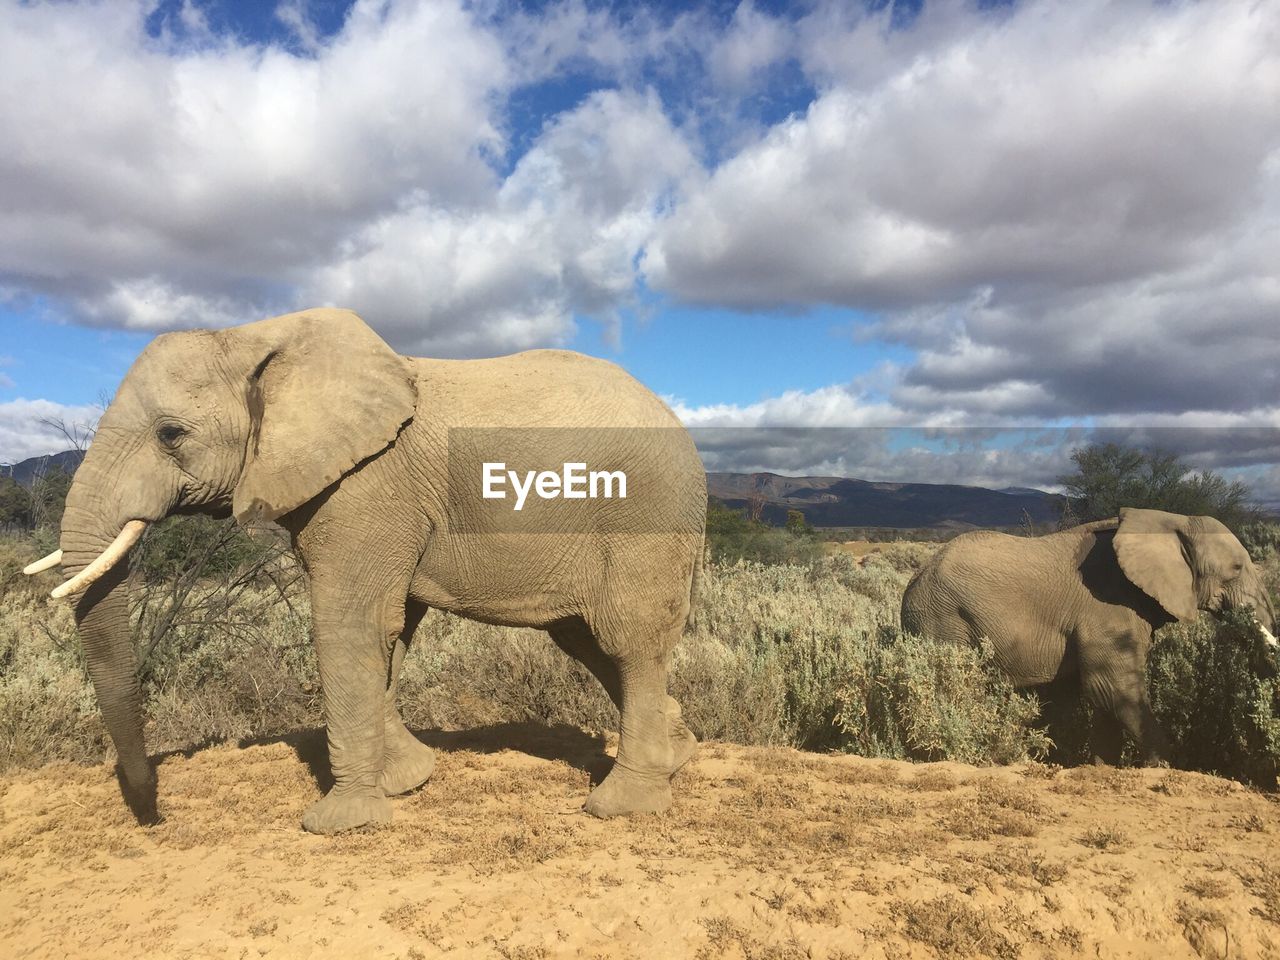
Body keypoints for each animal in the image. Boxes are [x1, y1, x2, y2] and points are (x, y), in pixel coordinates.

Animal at [24, 309, 706, 834]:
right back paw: (678, 752)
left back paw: (624, 804)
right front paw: (408, 780)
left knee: (628, 641)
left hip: (647, 514)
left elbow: (350, 624)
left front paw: (339, 822)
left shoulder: (367, 486)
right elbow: (390, 630)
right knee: (584, 640)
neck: (253, 336)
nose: (155, 817)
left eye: (171, 435)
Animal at [906, 512, 1274, 768]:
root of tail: (915, 579)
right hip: (944, 619)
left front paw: (1102, 767)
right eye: (1236, 568)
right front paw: (1162, 767)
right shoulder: (1107, 608)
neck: (1170, 519)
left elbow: (1103, 696)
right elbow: (1112, 689)